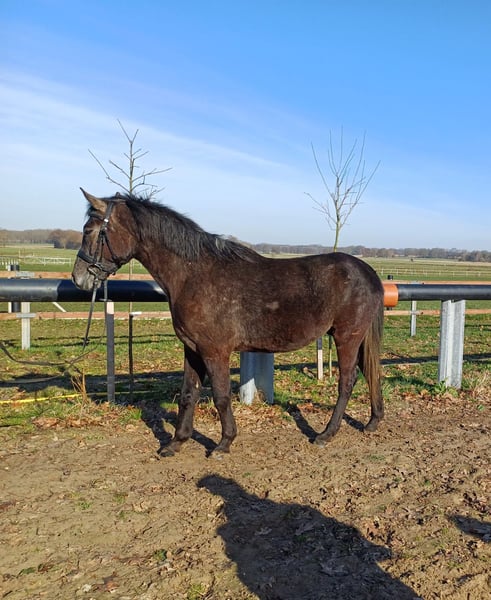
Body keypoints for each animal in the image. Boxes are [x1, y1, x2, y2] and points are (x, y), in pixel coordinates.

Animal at [72, 189, 385, 456]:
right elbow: (188, 394)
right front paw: (176, 443)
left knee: (347, 382)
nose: (78, 278)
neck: (194, 274)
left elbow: (221, 395)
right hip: (355, 338)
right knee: (370, 373)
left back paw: (326, 434)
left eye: (89, 231)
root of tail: (368, 272)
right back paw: (373, 421)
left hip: (346, 337)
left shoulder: (215, 351)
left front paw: (224, 443)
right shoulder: (192, 349)